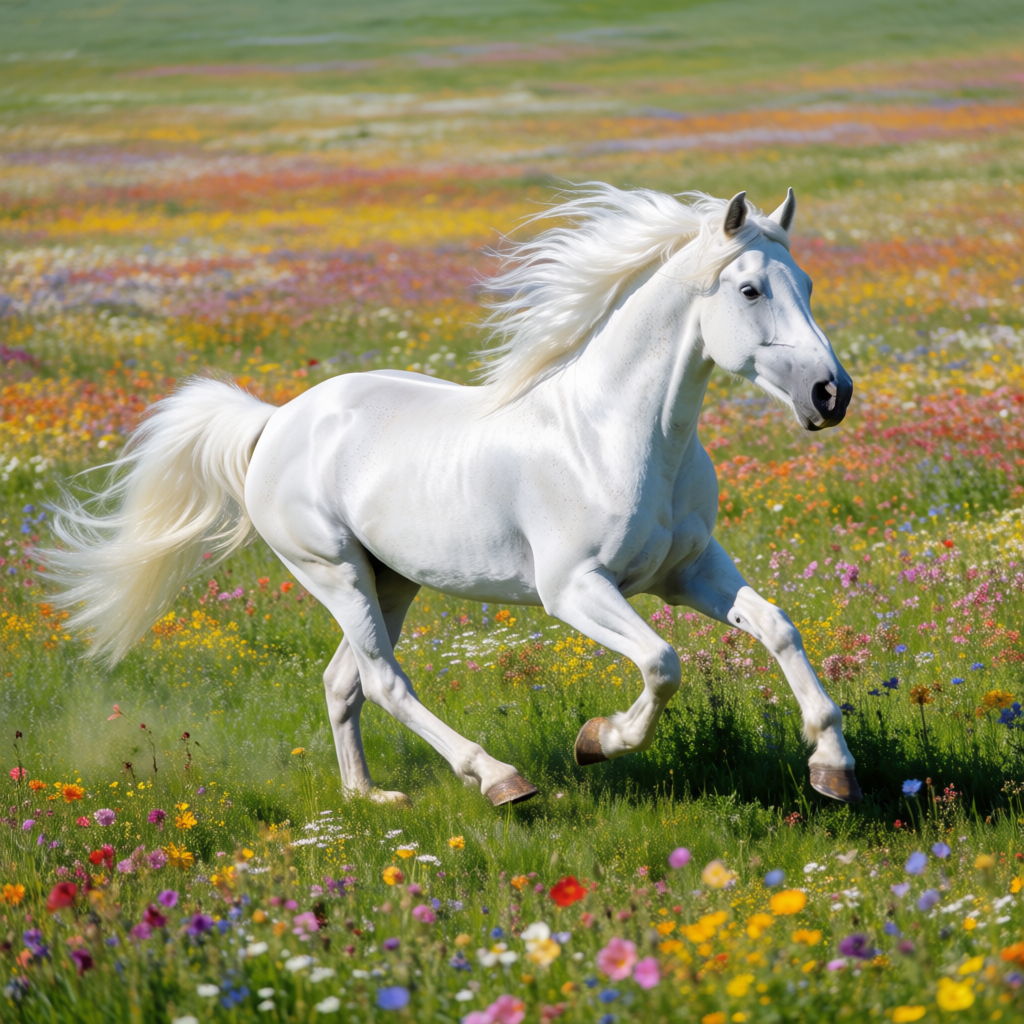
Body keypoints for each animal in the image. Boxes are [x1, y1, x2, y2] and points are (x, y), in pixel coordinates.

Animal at [44, 185, 862, 808]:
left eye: (808, 286)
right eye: (750, 289)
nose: (832, 394)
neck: (615, 436)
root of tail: (275, 420)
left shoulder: (688, 572)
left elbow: (778, 627)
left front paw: (832, 766)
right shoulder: (575, 589)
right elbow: (662, 663)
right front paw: (597, 741)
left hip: (391, 580)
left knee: (342, 682)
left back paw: (369, 796)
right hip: (333, 572)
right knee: (383, 681)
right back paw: (498, 778)